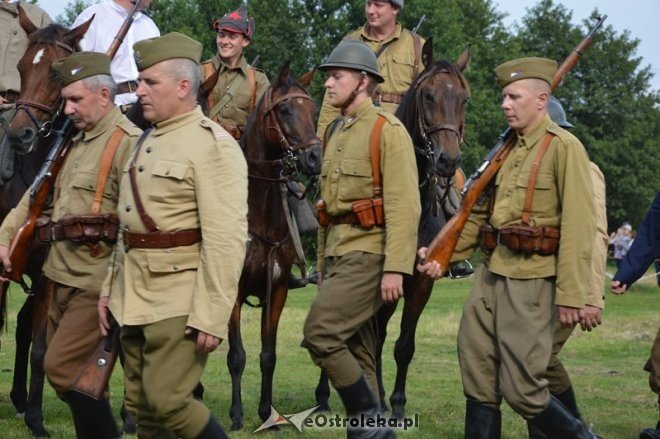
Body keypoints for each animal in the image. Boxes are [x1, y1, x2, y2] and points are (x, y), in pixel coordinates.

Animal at [224, 62, 322, 430]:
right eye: (284, 110)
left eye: (313, 110)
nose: (314, 157)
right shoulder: (232, 292)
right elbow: (236, 356)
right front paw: (237, 415)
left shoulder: (276, 289)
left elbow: (268, 355)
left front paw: (267, 413)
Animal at [314, 40, 470, 420]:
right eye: (428, 95)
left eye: (464, 98)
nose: (448, 160)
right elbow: (377, 338)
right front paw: (381, 399)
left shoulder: (420, 283)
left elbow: (404, 344)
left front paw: (396, 405)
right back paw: (324, 394)